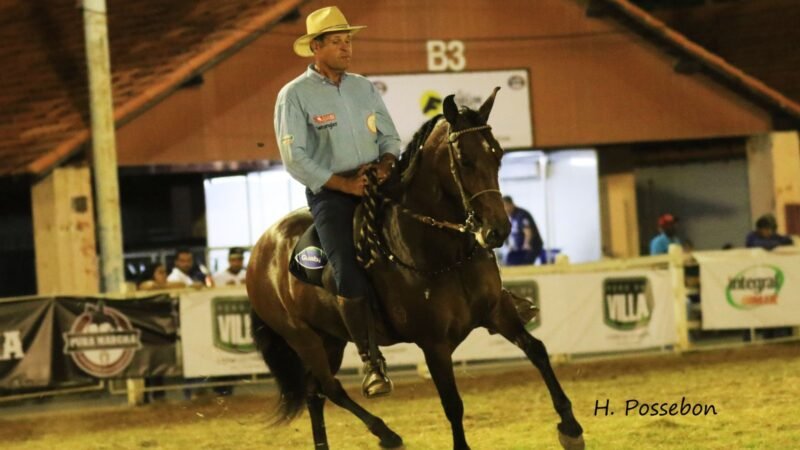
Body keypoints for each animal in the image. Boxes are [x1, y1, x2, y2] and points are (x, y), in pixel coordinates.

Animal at [247, 89, 584, 450]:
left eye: (498, 154)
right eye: (465, 160)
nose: (498, 230)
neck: (445, 253)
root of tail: (260, 253)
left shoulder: (498, 311)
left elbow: (538, 351)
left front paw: (570, 427)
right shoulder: (433, 344)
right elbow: (452, 403)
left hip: (331, 338)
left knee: (315, 393)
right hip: (304, 339)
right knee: (330, 388)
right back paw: (387, 432)